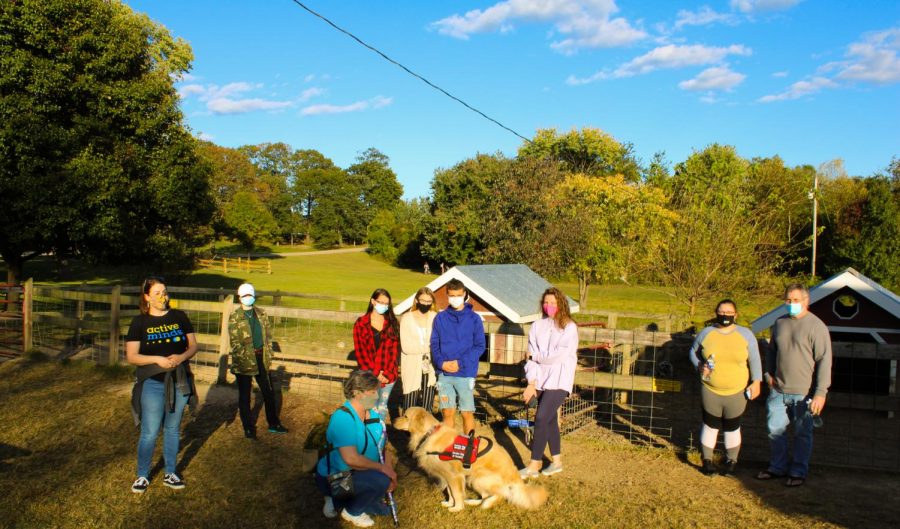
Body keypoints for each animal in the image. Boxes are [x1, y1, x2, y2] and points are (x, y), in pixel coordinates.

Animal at [396, 406, 548, 510]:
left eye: (405, 416)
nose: (393, 421)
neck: (428, 434)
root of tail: (513, 472)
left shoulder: (454, 476)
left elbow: (456, 493)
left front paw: (457, 508)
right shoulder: (447, 476)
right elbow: (450, 492)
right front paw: (449, 503)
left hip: (478, 478)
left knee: (500, 495)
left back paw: (486, 504)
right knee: (486, 496)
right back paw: (473, 501)